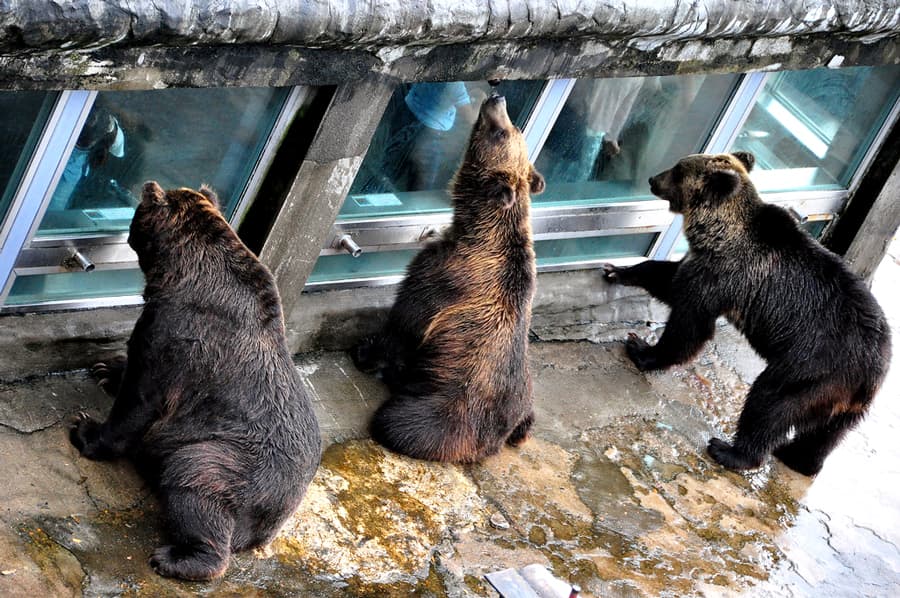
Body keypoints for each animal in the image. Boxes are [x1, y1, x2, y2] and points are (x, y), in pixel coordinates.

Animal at [71, 182, 324, 580]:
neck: (178, 272)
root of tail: (278, 517)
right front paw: (107, 369)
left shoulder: (177, 337)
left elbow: (140, 398)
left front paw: (86, 430)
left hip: (230, 459)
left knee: (194, 480)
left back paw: (177, 558)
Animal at [356, 96, 544, 466]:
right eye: (513, 128)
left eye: (502, 132)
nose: (497, 98)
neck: (474, 230)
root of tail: (495, 441)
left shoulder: (443, 278)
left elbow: (405, 320)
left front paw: (365, 351)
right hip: (525, 396)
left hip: (449, 414)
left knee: (398, 423)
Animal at [600, 154, 888, 478]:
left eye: (678, 170)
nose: (652, 179)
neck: (717, 232)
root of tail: (874, 368)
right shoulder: (704, 264)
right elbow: (667, 277)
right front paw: (616, 270)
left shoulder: (725, 274)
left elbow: (689, 323)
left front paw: (641, 349)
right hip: (844, 400)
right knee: (826, 433)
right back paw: (798, 457)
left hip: (812, 368)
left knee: (769, 402)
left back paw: (730, 451)